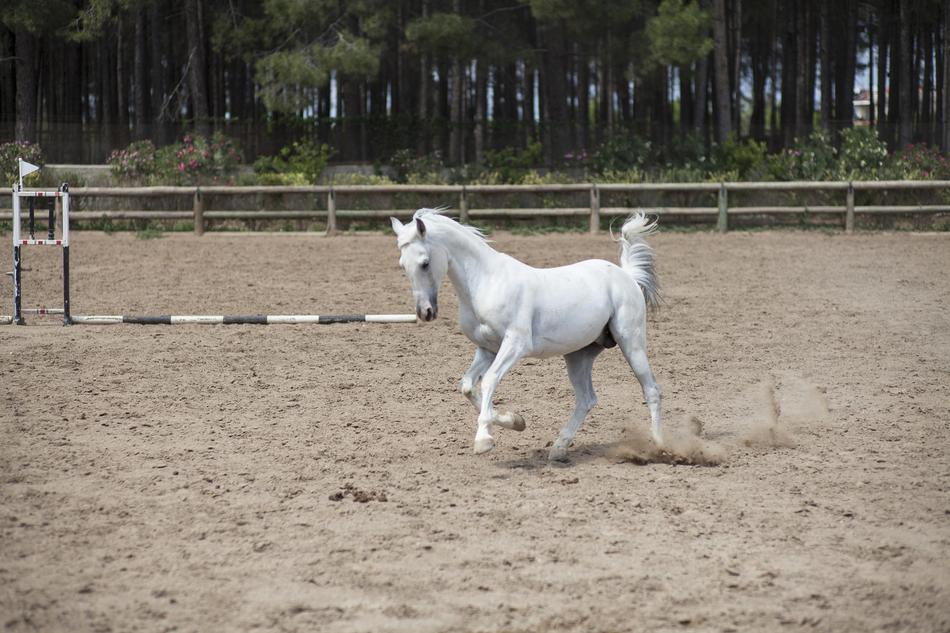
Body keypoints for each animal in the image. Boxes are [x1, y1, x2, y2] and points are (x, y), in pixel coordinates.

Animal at [390, 210, 664, 462]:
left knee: (651, 390)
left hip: (631, 342)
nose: (425, 312)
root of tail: (627, 276)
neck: (486, 282)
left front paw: (484, 440)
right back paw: (559, 448)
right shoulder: (487, 349)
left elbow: (489, 380)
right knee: (586, 399)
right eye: (402, 265)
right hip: (579, 355)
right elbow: (467, 386)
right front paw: (514, 421)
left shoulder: (515, 345)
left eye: (425, 263)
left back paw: (659, 445)